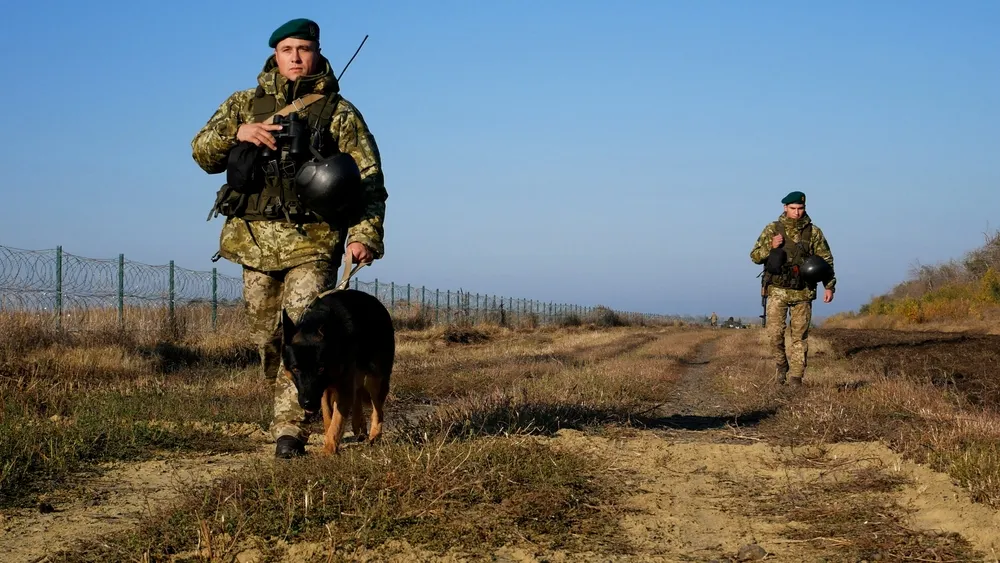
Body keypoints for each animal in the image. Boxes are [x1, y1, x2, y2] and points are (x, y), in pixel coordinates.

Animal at [280, 288, 396, 456]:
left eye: (320, 368)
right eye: (295, 368)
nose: (308, 403)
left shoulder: (340, 387)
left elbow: (337, 421)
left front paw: (328, 451)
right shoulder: (325, 390)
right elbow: (329, 417)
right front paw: (330, 442)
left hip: (375, 379)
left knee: (377, 409)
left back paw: (375, 435)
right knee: (357, 393)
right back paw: (359, 426)